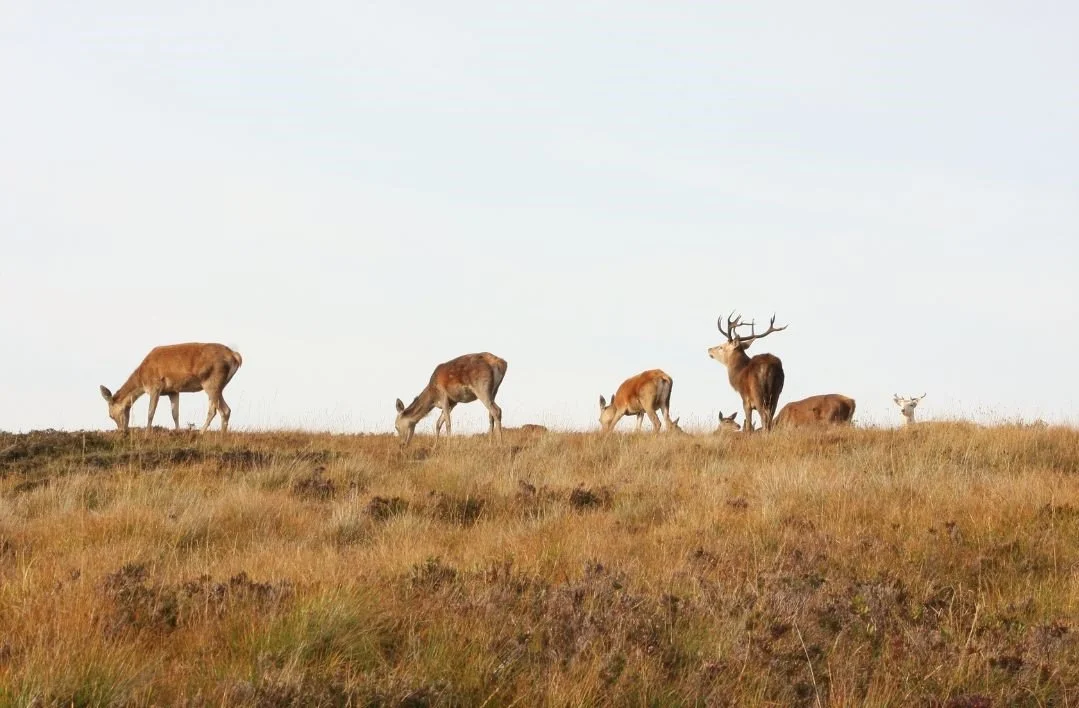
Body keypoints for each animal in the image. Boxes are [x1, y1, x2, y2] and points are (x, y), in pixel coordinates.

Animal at [99, 343, 243, 433]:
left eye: (110, 415)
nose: (122, 431)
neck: (142, 379)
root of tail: (235, 356)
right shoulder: (173, 391)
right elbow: (175, 414)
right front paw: (177, 431)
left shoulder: (155, 386)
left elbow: (150, 412)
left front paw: (147, 432)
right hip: (218, 386)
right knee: (213, 410)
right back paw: (202, 432)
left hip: (212, 383)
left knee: (225, 410)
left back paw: (218, 436)